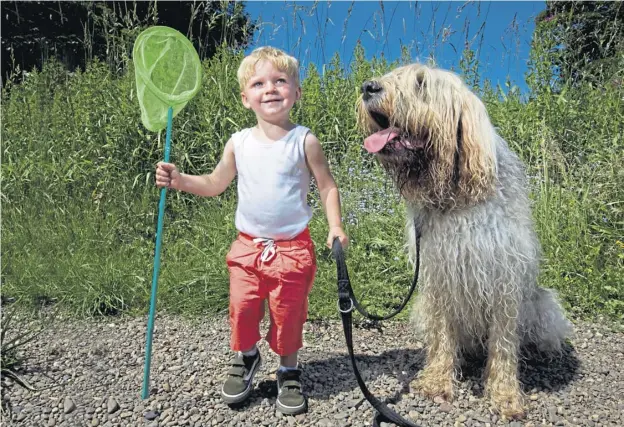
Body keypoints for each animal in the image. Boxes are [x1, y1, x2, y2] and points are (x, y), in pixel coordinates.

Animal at [358, 65, 572, 420]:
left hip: (541, 304)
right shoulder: (441, 276)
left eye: (421, 82)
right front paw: (437, 381)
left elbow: (503, 346)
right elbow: (443, 337)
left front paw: (505, 395)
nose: (368, 87)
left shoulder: (503, 281)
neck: (455, 193)